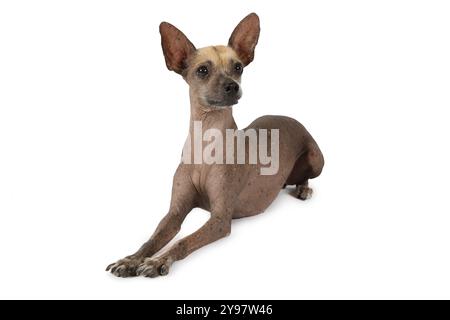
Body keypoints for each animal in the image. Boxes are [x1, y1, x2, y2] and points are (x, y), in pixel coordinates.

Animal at [106, 12, 324, 278]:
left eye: (238, 67)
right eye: (202, 70)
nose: (233, 86)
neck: (206, 142)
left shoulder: (220, 219)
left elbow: (183, 242)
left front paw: (159, 261)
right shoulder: (174, 213)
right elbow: (152, 239)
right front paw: (130, 260)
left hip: (316, 160)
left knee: (306, 176)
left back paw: (303, 188)